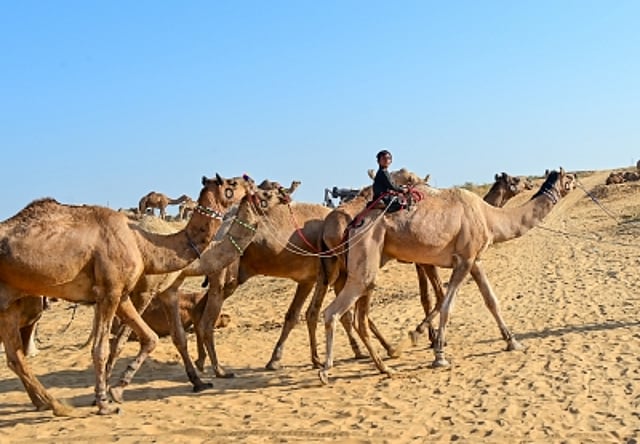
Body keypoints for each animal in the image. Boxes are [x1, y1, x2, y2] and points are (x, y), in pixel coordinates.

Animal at [0, 173, 257, 416]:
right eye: (232, 183)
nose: (252, 183)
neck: (145, 244)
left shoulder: (123, 294)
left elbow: (154, 337)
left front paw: (115, 390)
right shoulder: (117, 291)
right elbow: (105, 347)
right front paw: (104, 401)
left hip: (9, 303)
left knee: (15, 356)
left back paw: (51, 404)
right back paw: (55, 405)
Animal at [317, 168, 576, 384]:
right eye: (515, 179)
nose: (530, 182)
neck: (488, 216)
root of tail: (353, 224)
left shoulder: (475, 260)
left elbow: (491, 300)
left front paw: (512, 341)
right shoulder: (463, 260)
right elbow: (446, 304)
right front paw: (438, 353)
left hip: (371, 258)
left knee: (357, 313)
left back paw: (384, 365)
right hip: (367, 249)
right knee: (333, 311)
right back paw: (327, 370)